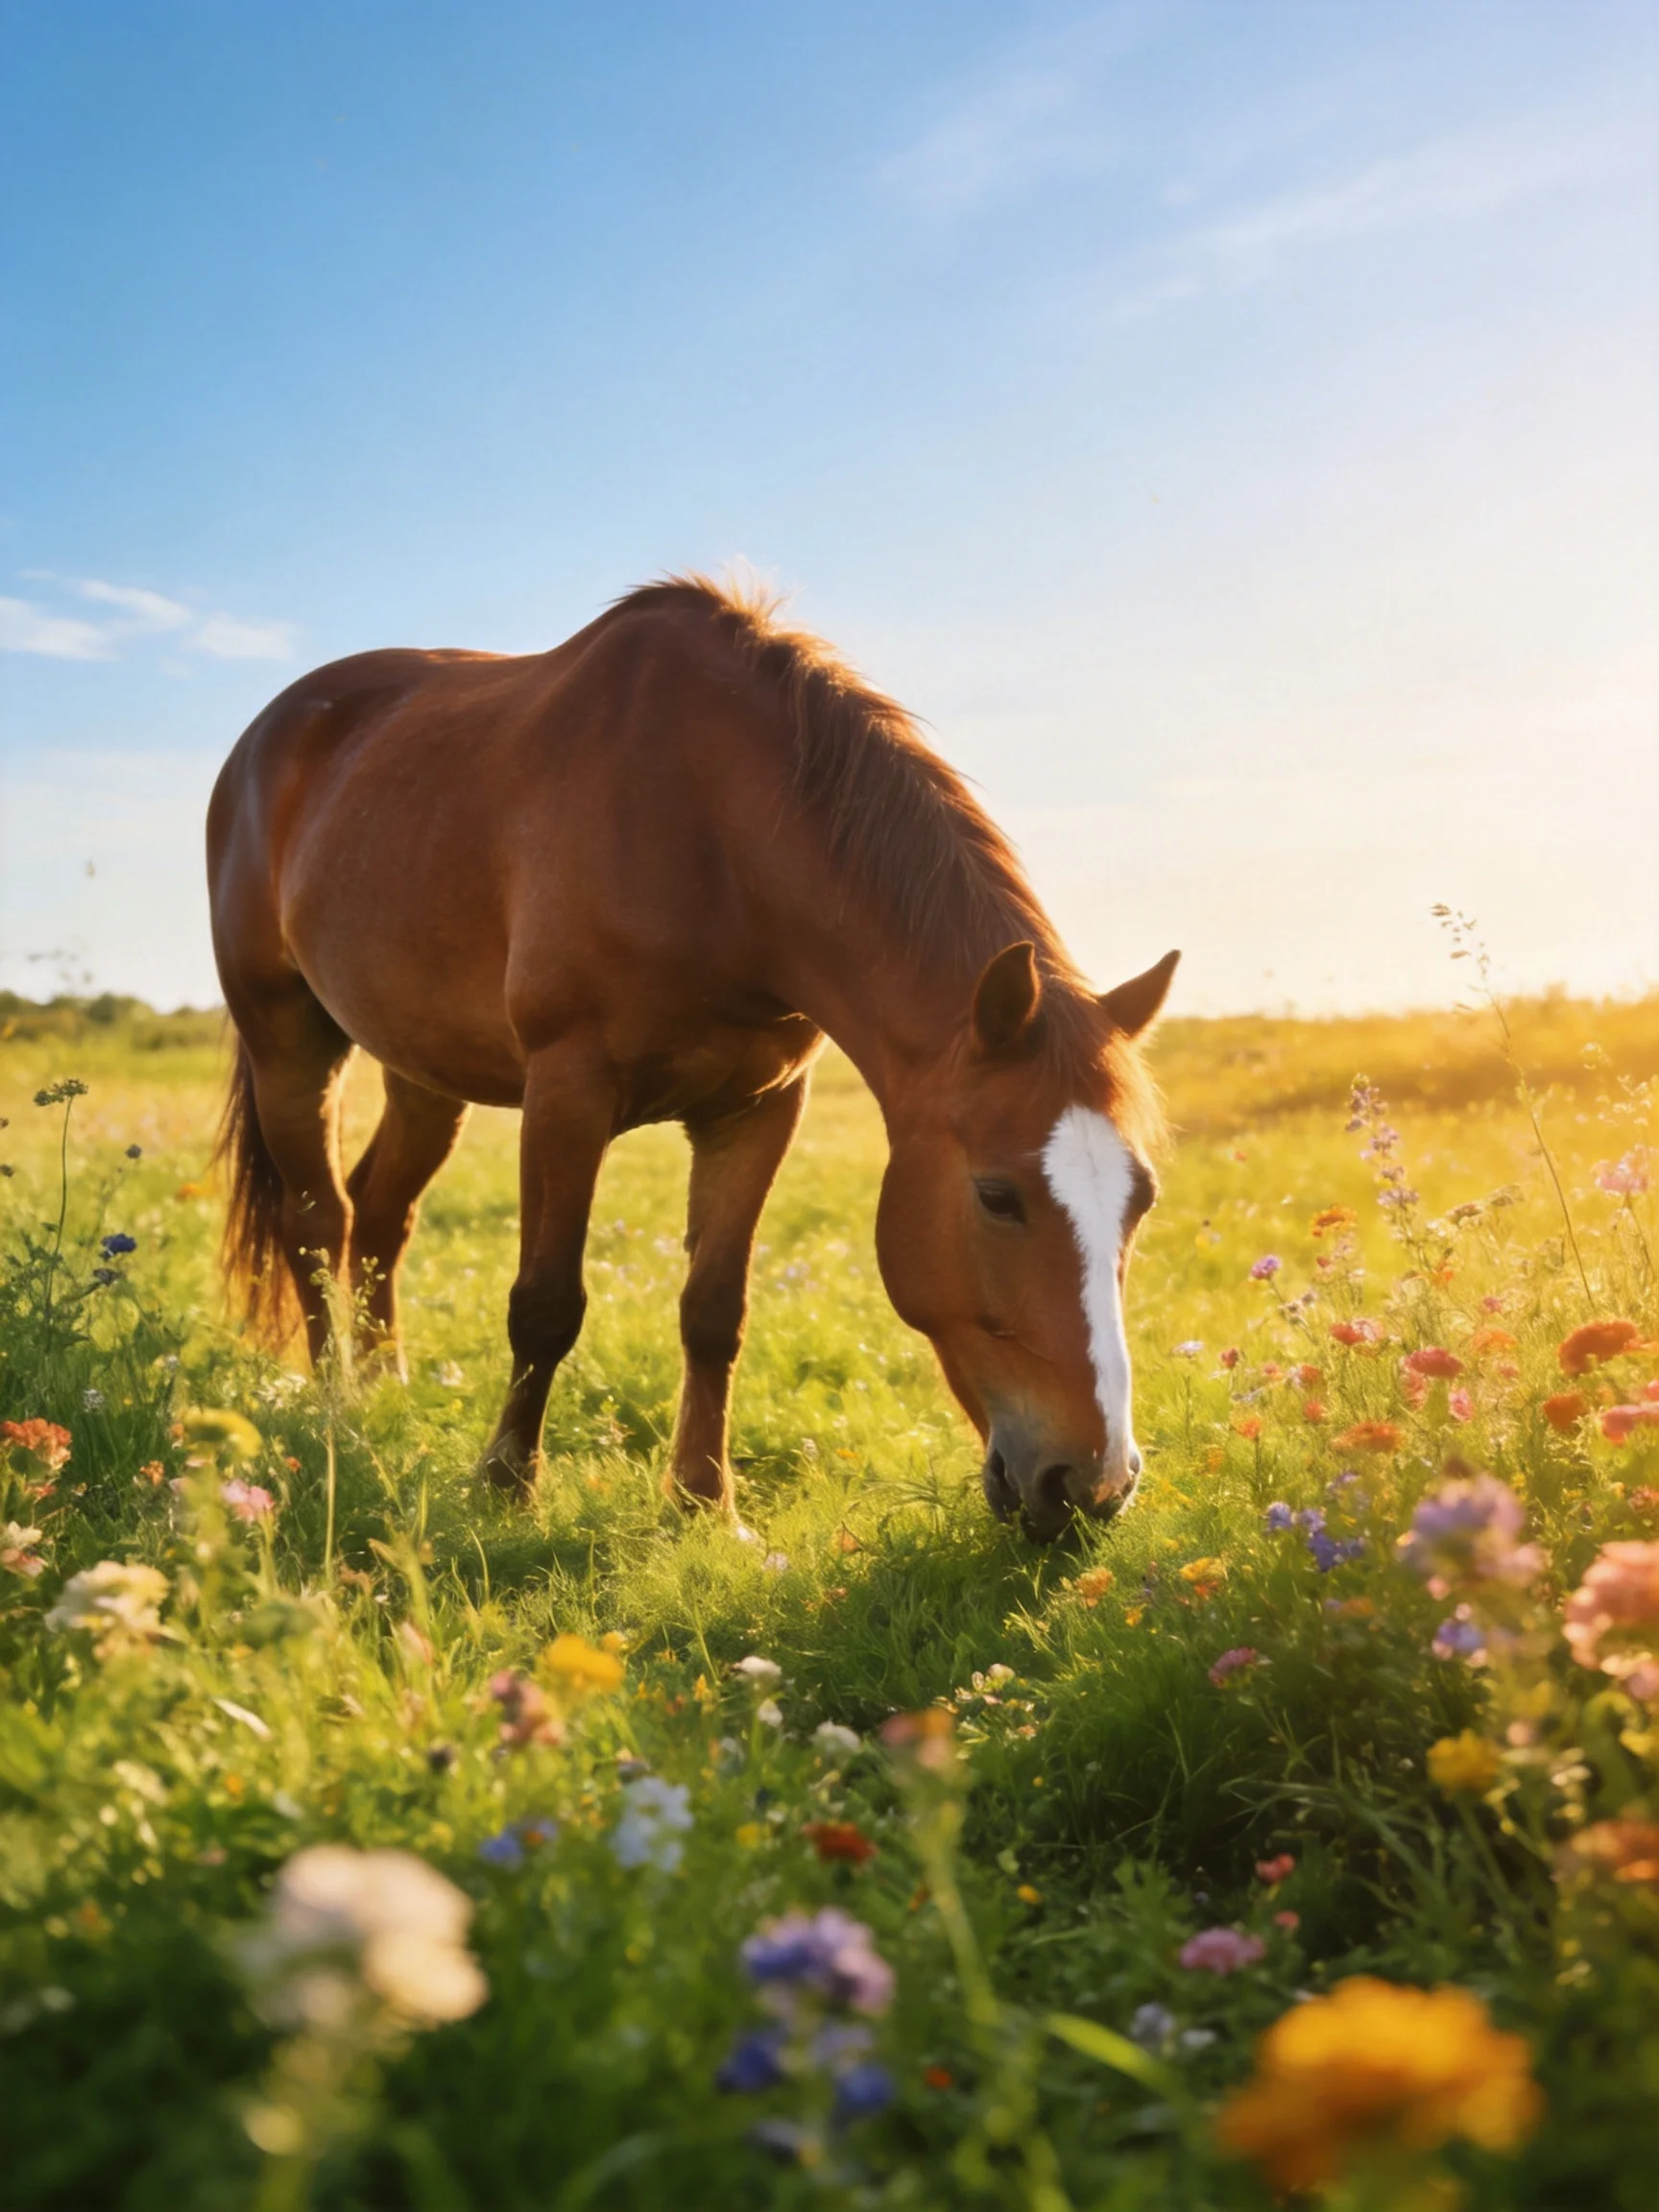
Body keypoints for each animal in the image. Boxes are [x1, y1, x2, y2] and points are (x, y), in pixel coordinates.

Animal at [206, 577, 1177, 1541]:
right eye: (997, 1197)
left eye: (1141, 1202)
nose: (1093, 1484)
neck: (713, 834)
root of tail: (264, 737)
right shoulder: (567, 1089)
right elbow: (545, 1304)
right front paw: (507, 1486)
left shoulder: (759, 1107)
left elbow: (715, 1310)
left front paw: (706, 1500)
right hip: (290, 1041)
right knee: (317, 1220)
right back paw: (338, 1405)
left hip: (421, 1070)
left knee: (380, 1213)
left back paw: (385, 1390)